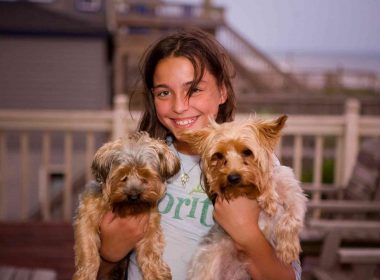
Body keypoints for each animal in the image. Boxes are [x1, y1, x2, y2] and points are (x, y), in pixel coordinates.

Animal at [72, 132, 180, 280]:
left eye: (145, 177)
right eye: (123, 177)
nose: (133, 196)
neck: (125, 209)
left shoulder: (150, 224)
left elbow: (150, 249)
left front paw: (156, 273)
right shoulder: (87, 216)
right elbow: (88, 249)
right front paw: (85, 275)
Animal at [180, 115, 308, 278]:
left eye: (247, 152)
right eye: (218, 155)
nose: (233, 177)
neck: (252, 191)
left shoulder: (294, 195)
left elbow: (292, 220)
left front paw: (288, 249)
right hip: (207, 261)